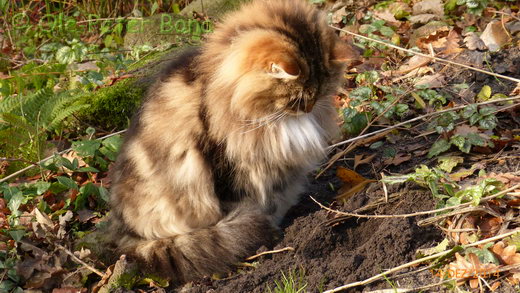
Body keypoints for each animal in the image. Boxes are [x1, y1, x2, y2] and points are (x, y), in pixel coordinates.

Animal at [108, 0, 356, 282]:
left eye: (320, 94)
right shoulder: (230, 169)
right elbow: (253, 206)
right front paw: (268, 234)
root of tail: (121, 231)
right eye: (296, 99)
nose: (308, 109)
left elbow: (275, 200)